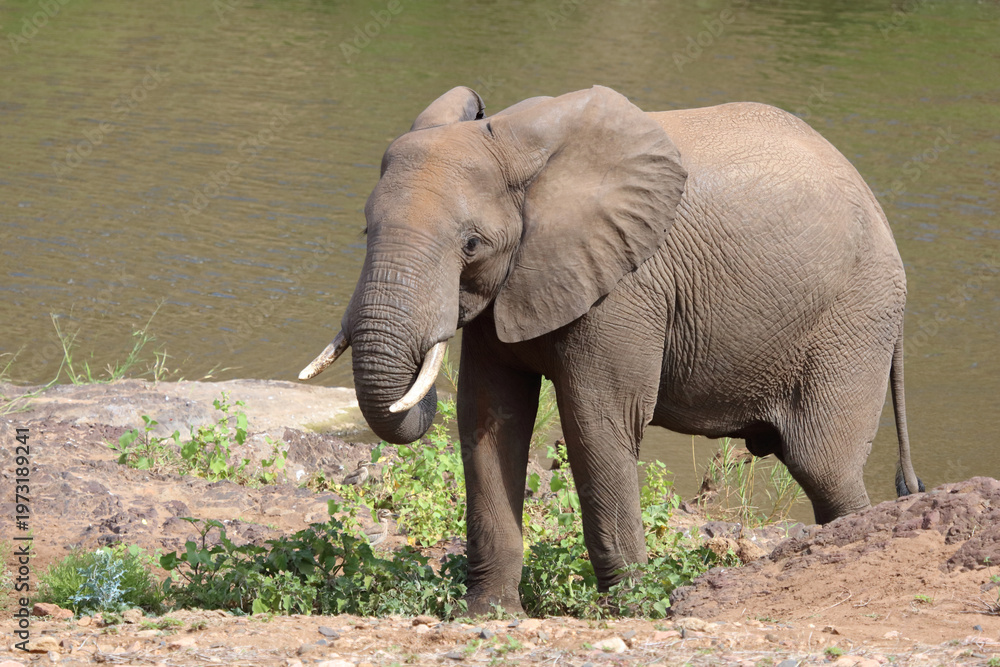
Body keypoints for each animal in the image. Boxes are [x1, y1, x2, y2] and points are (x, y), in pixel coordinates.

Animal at [299, 85, 921, 615]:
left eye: (471, 244)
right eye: (365, 231)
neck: (517, 147)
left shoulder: (625, 288)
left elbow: (596, 422)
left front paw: (630, 608)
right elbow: (490, 418)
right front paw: (490, 615)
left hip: (853, 322)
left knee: (825, 467)